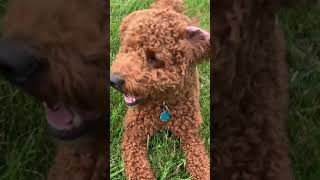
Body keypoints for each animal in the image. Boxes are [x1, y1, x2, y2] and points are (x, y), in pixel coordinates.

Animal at [111, 0, 211, 180]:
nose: (114, 80)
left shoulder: (191, 136)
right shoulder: (133, 135)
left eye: (153, 57)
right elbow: (138, 169)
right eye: (128, 49)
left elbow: (200, 162)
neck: (164, 104)